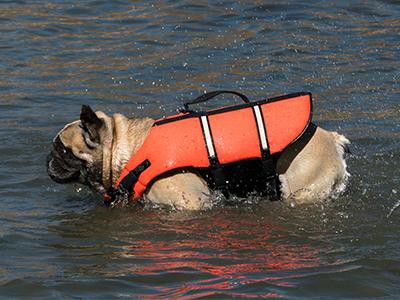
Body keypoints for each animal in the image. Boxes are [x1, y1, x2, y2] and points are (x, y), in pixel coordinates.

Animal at [47, 95, 348, 210]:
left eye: (62, 149)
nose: (48, 159)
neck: (128, 149)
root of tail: (332, 139)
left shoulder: (191, 202)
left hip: (303, 186)